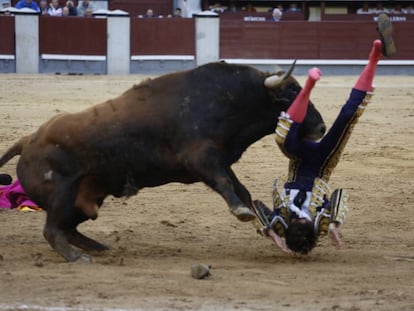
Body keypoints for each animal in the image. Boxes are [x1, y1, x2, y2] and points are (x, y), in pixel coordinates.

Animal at [0, 62, 324, 262]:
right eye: (292, 93)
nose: (321, 128)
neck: (233, 99)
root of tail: (27, 140)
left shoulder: (218, 159)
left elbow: (242, 190)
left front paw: (271, 229)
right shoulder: (200, 157)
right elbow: (226, 185)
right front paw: (242, 213)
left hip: (84, 201)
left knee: (68, 228)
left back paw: (98, 247)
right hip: (61, 194)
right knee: (52, 230)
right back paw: (77, 257)